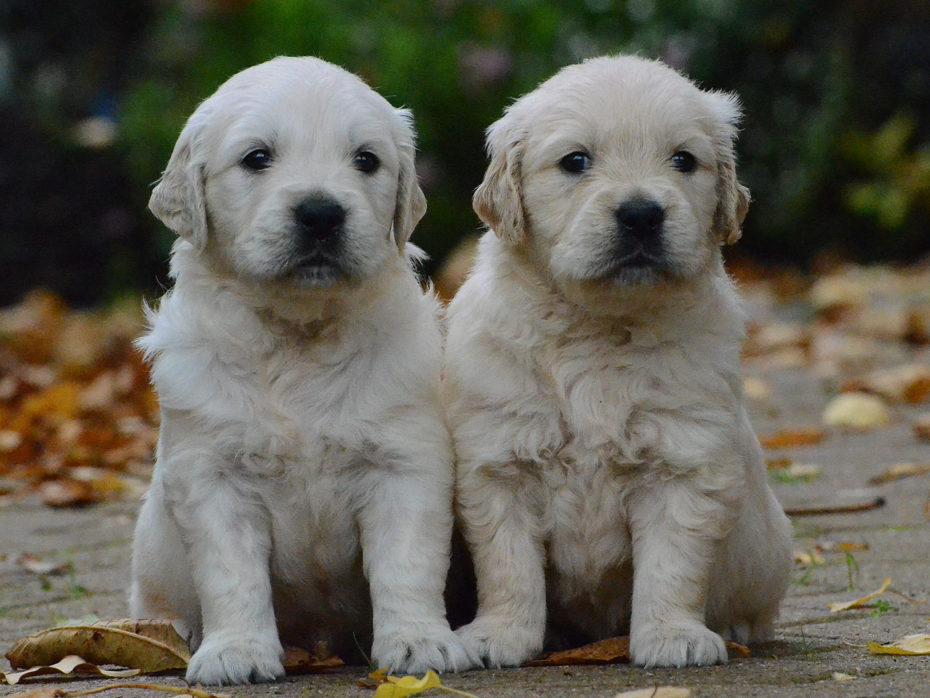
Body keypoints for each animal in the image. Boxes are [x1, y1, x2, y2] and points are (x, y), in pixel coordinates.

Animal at [130, 57, 474, 684]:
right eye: (256, 157)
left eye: (366, 159)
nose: (320, 214)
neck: (298, 338)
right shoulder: (213, 476)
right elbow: (232, 574)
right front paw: (236, 651)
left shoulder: (404, 465)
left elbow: (407, 563)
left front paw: (419, 643)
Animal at [442, 55, 792, 668]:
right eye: (576, 161)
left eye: (684, 160)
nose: (641, 214)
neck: (597, 332)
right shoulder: (499, 462)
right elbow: (508, 567)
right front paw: (499, 635)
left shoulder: (683, 464)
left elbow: (671, 567)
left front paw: (673, 636)